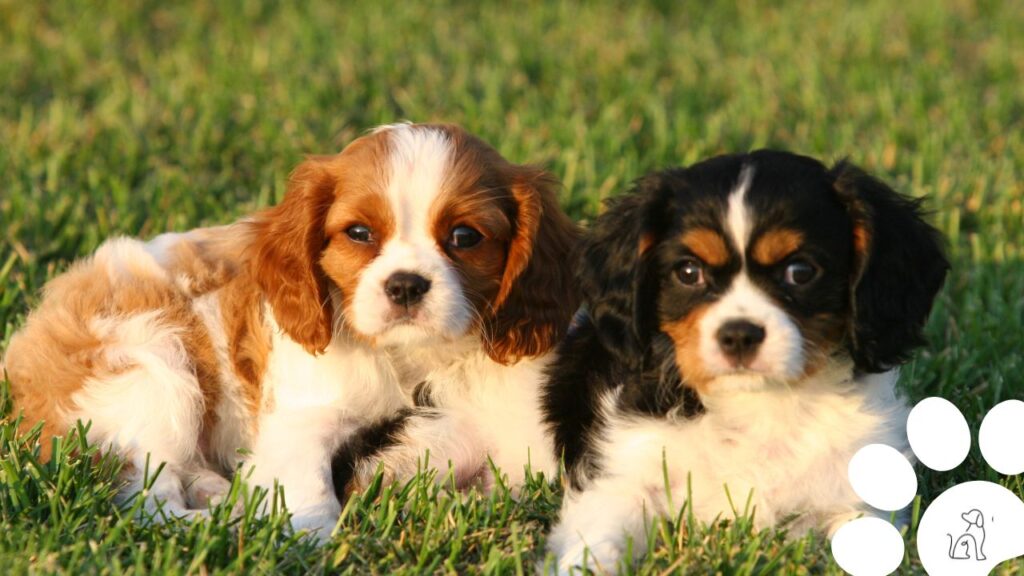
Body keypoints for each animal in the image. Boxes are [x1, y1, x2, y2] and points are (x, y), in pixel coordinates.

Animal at [2, 121, 577, 537]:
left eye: (464, 236)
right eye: (359, 233)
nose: (406, 286)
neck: (411, 357)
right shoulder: (303, 419)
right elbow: (307, 491)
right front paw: (307, 539)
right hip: (153, 371)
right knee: (144, 494)